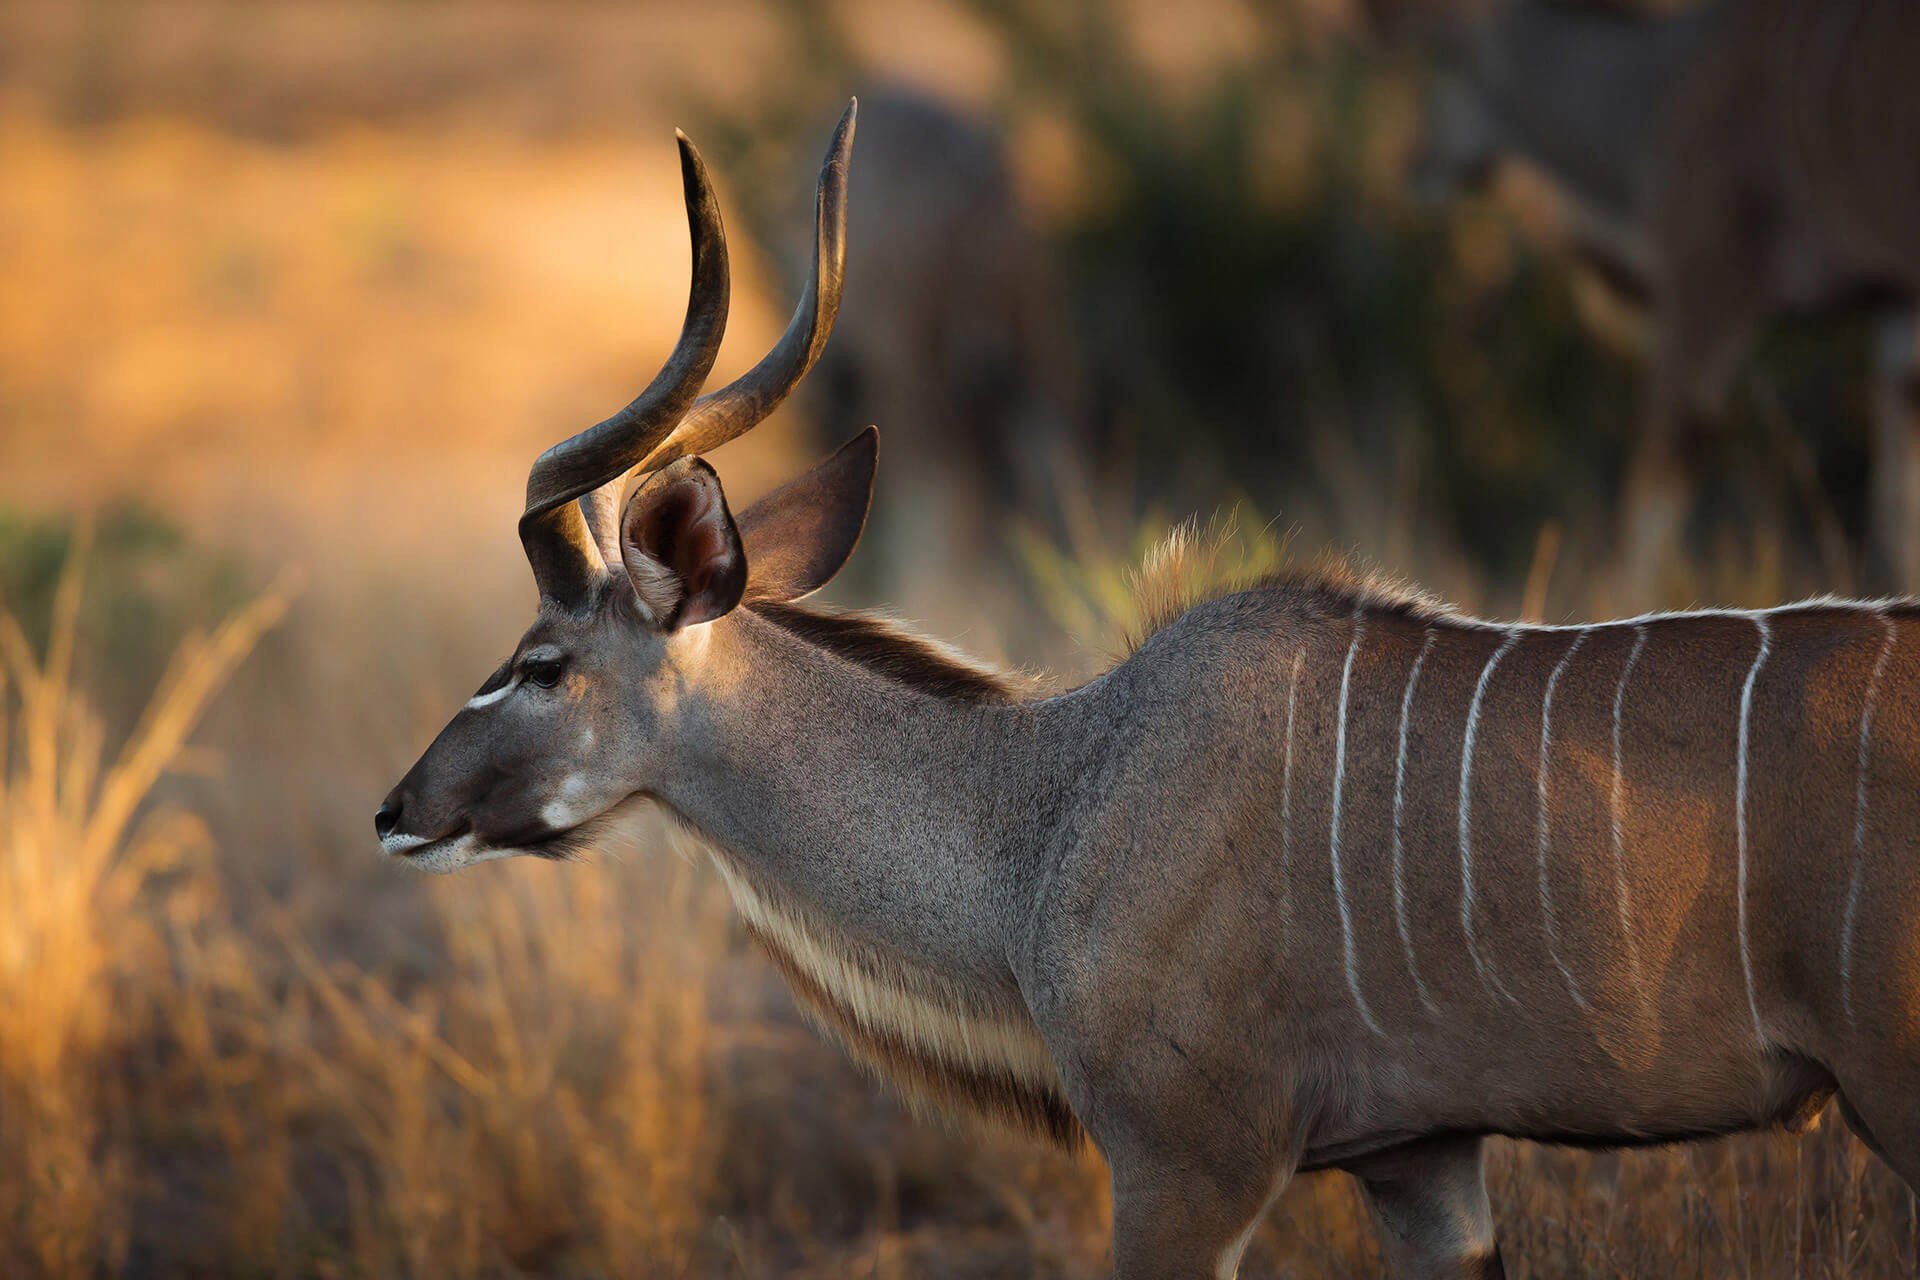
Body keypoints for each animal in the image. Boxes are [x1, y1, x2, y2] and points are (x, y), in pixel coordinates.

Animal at [1397, 0, 1920, 594]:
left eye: (1441, 66)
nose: (1413, 162)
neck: (1663, 82)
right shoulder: (1897, 310)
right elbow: (1902, 506)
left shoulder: (1709, 290)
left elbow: (1656, 487)